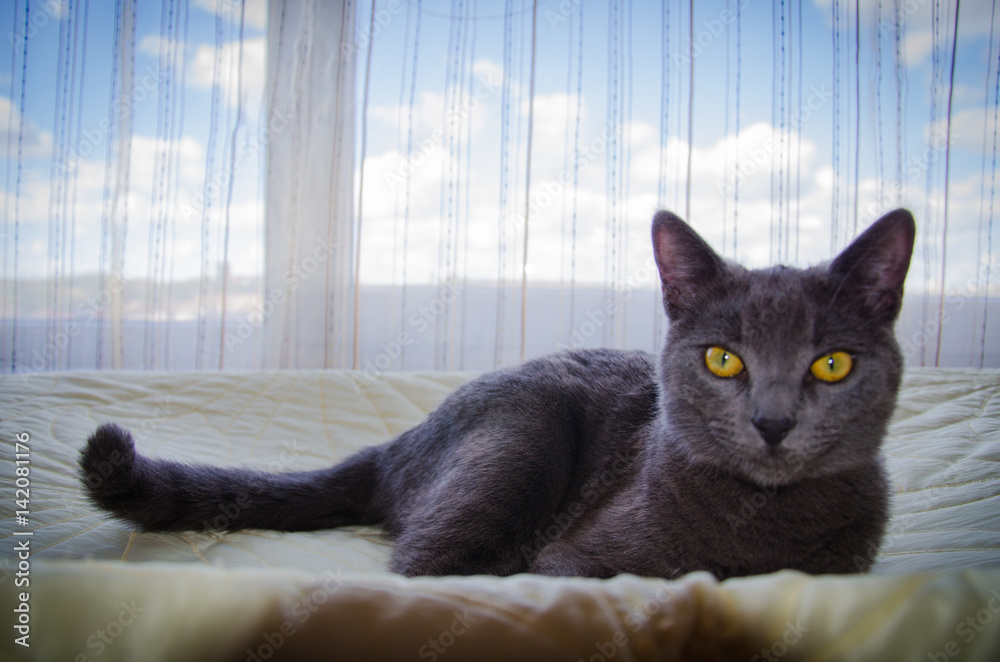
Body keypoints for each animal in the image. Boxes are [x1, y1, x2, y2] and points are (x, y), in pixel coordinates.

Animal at [78, 210, 916, 580]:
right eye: (723, 359)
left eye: (831, 365)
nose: (772, 421)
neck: (760, 525)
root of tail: (396, 443)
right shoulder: (577, 562)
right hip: (524, 439)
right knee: (429, 563)